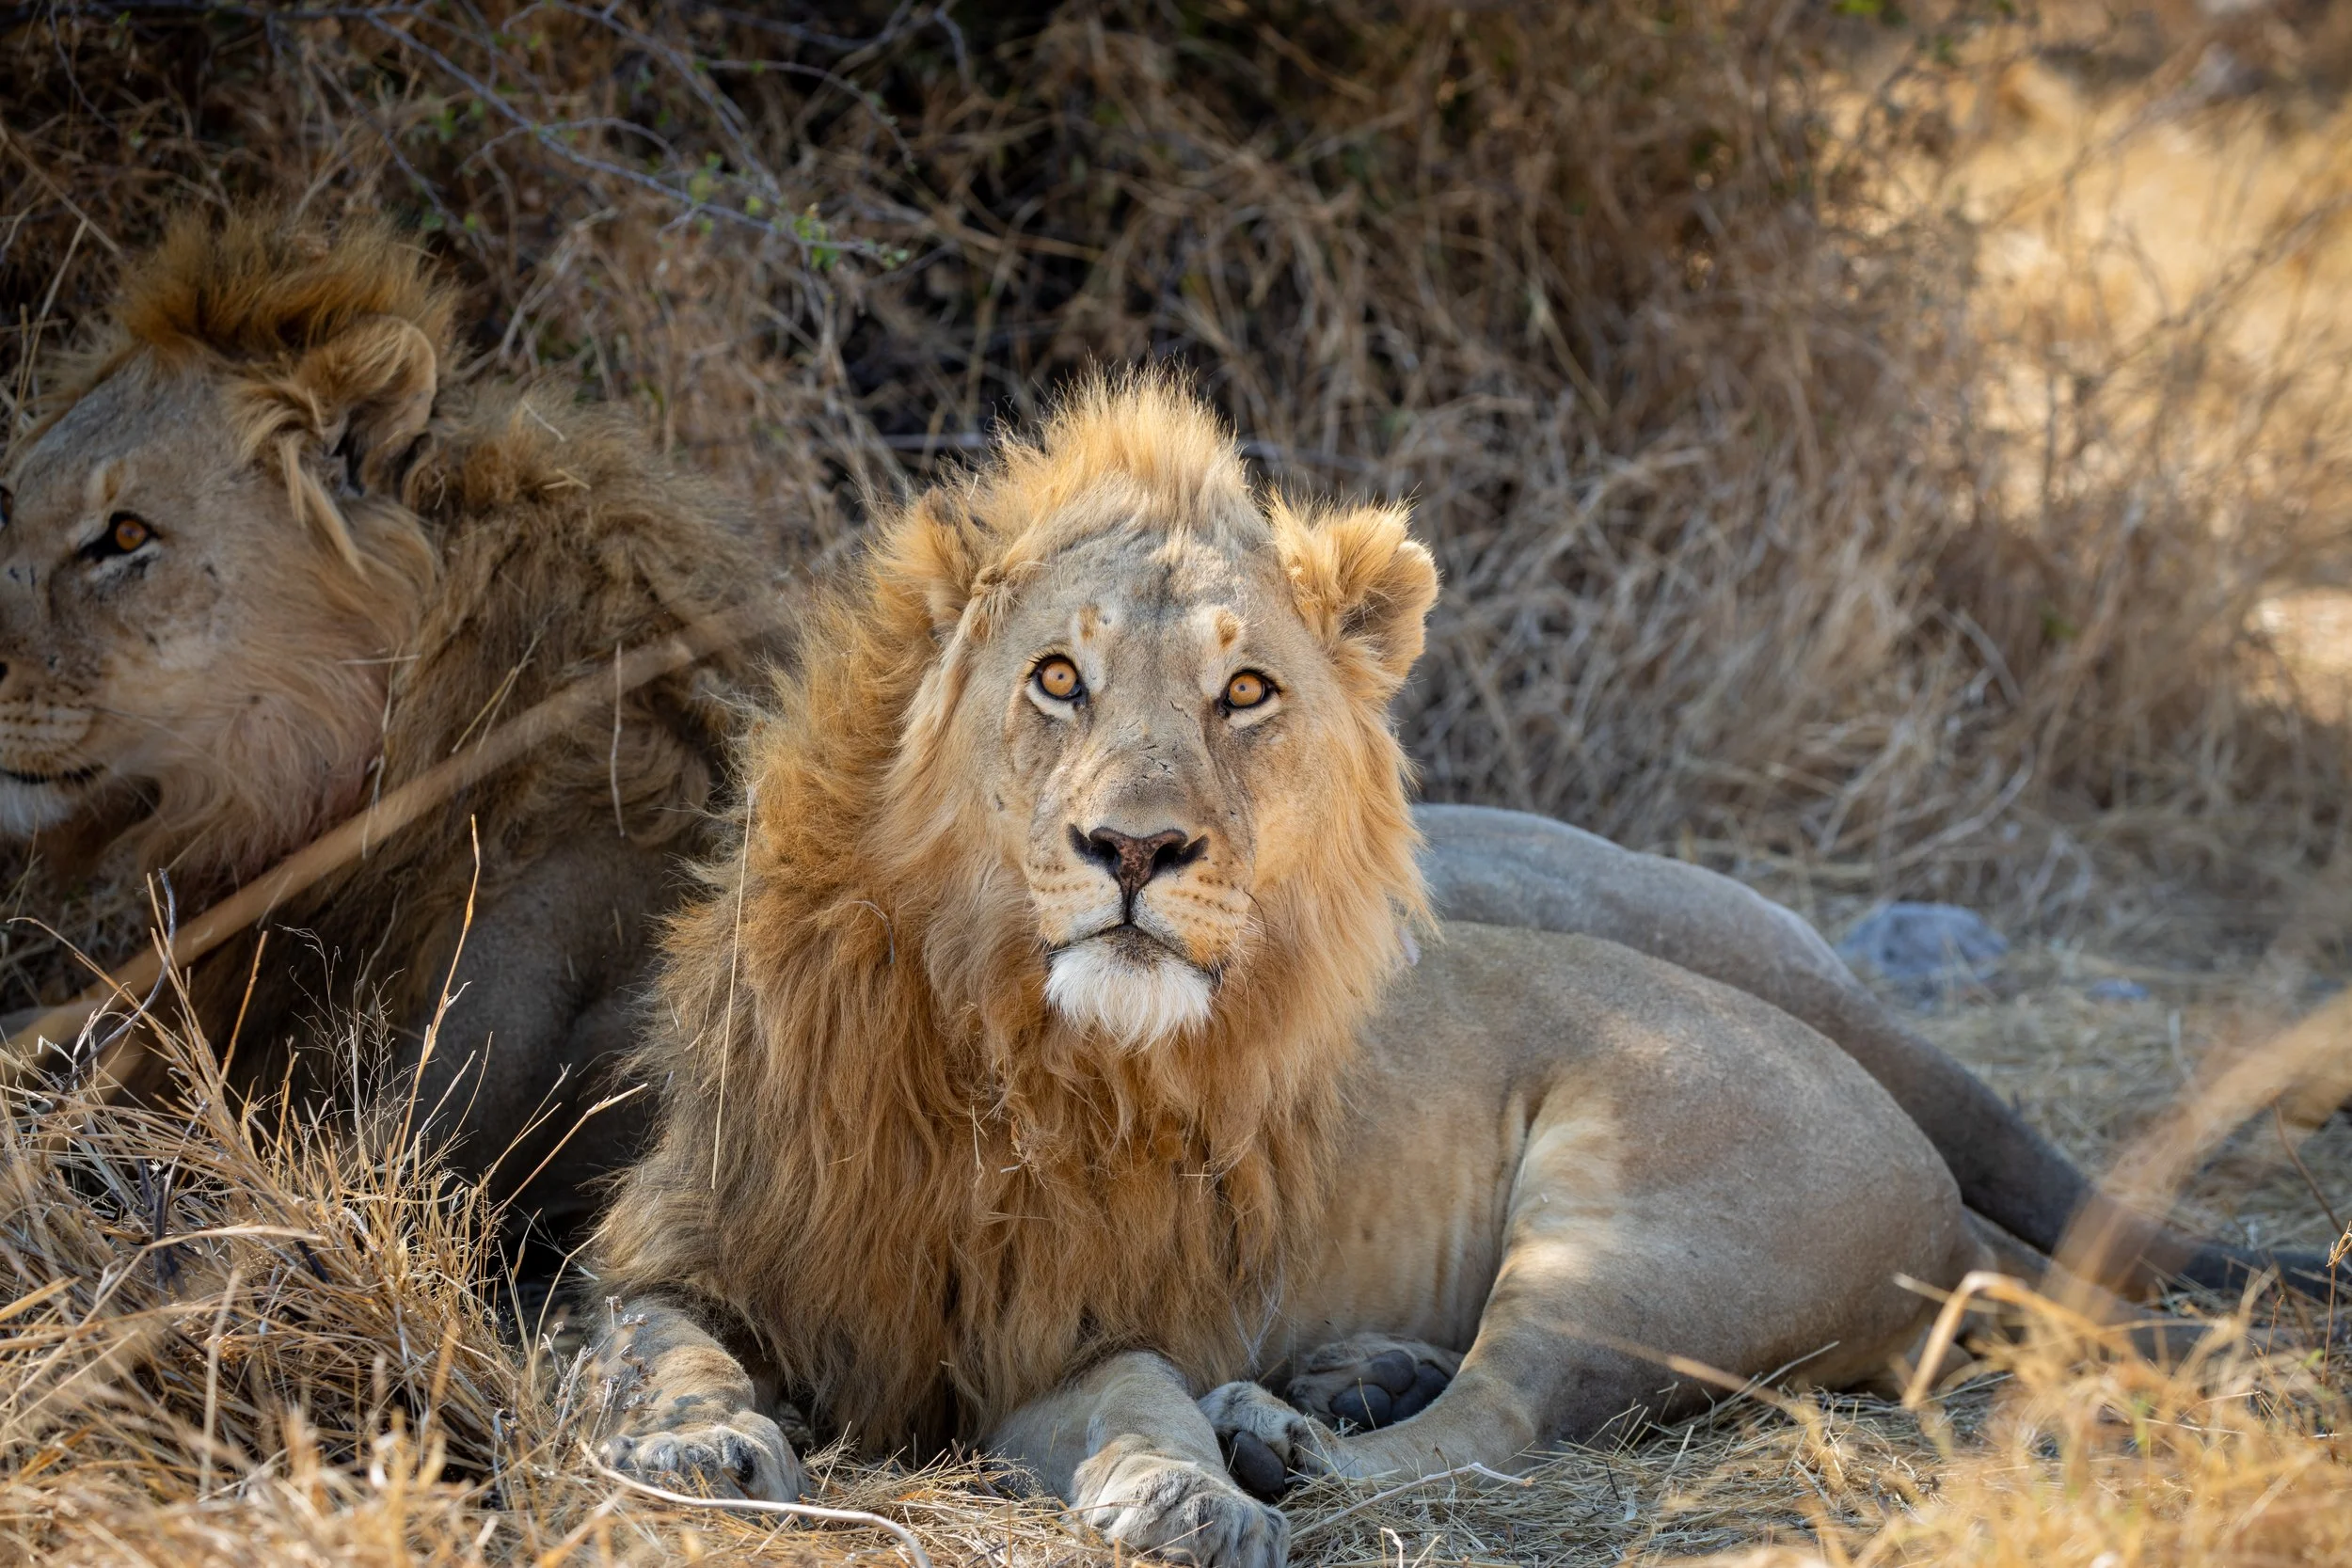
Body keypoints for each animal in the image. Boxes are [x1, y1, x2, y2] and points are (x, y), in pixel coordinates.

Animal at [585, 377, 2332, 1565]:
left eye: (1245, 691)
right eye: (1058, 679)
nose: (1137, 848)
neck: (998, 1046)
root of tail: (1946, 1210)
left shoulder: (1071, 1328)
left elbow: (1144, 1396)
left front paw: (1187, 1491)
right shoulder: (665, 1247)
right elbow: (658, 1341)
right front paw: (701, 1445)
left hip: (1636, 1225)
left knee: (1493, 1424)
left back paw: (1283, 1437)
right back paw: (1341, 1379)